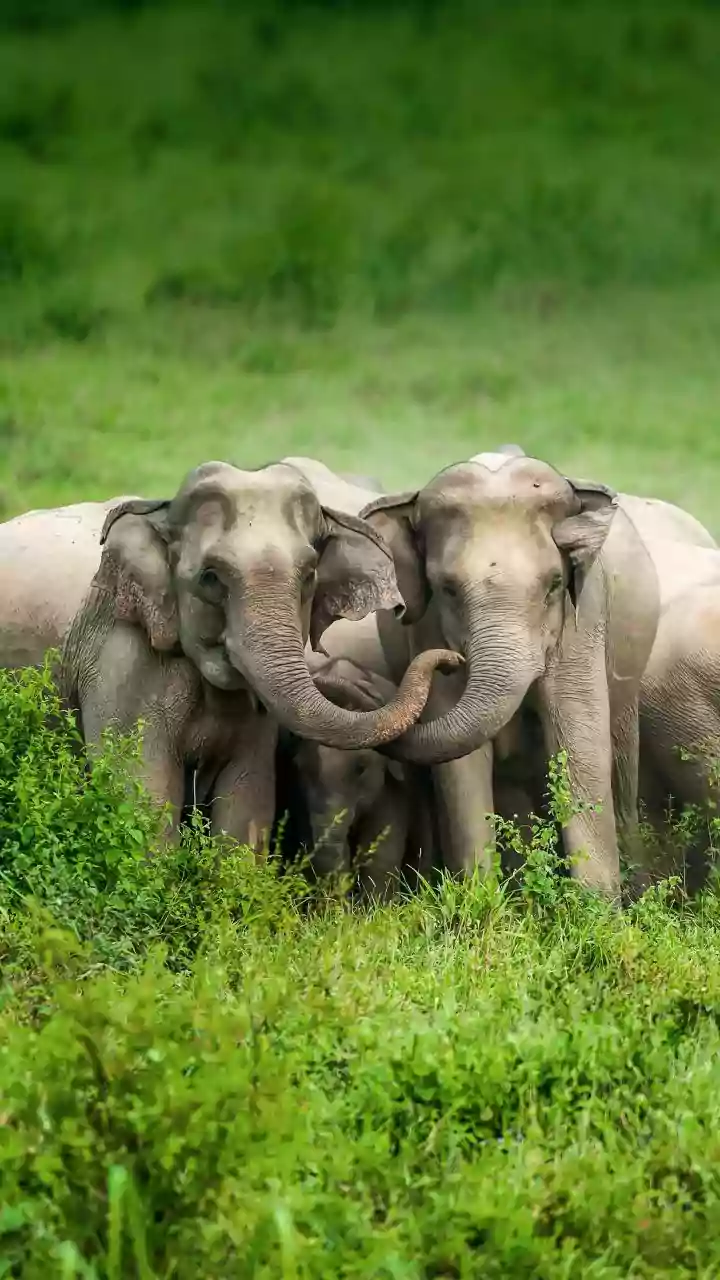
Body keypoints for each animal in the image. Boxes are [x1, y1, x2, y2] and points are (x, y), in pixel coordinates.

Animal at [60, 460, 460, 847]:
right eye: (210, 577)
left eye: (310, 575)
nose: (452, 661)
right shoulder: (120, 669)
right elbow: (144, 804)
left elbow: (245, 808)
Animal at [359, 450, 664, 898]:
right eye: (447, 589)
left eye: (555, 584)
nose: (447, 661)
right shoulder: (428, 624)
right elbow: (460, 761)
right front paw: (479, 901)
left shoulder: (583, 620)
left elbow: (579, 741)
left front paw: (595, 909)